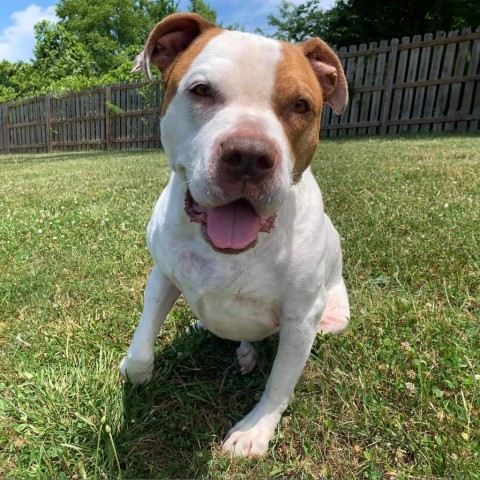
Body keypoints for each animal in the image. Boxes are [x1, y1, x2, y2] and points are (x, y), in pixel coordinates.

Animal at [121, 13, 348, 460]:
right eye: (201, 90)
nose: (248, 155)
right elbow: (141, 346)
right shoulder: (162, 275)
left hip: (333, 317)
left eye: (301, 106)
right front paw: (135, 372)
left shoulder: (301, 319)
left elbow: (279, 383)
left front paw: (255, 429)